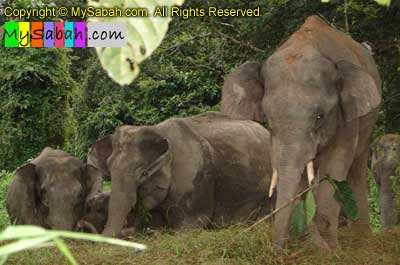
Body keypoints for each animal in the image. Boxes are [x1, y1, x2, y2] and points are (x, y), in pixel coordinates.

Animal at [222, 16, 382, 248]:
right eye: (268, 120)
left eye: (319, 117)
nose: (276, 250)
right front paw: (311, 246)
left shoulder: (346, 119)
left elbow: (334, 167)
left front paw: (328, 250)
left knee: (356, 167)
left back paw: (362, 240)